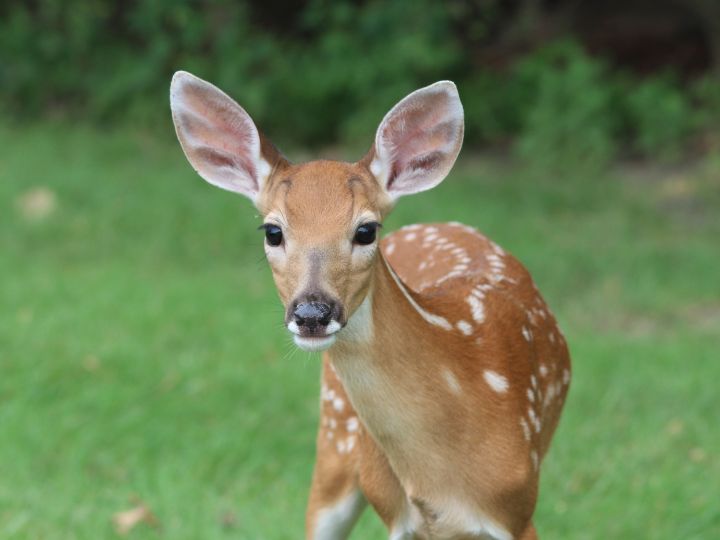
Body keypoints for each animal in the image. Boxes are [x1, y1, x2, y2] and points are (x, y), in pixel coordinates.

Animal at [170, 71, 571, 540]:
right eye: (272, 231)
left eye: (366, 230)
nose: (312, 313)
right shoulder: (398, 517)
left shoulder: (518, 509)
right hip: (335, 439)